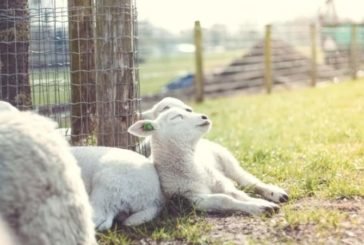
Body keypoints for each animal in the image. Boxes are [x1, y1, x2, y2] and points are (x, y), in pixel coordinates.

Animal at [128, 108, 284, 215]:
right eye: (176, 117)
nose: (204, 116)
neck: (193, 168)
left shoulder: (220, 182)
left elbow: (238, 194)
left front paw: (260, 203)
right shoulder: (193, 198)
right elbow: (224, 199)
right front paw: (261, 207)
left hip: (226, 159)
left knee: (249, 181)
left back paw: (276, 193)